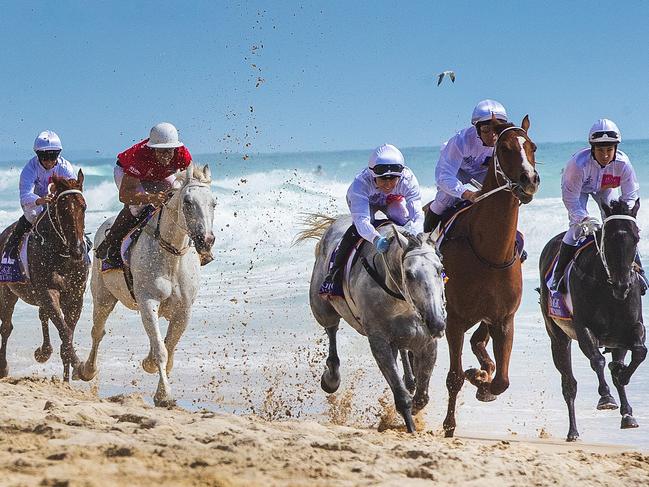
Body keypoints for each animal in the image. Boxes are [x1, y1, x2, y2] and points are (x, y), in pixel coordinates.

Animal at [0, 173, 88, 384]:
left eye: (83, 206)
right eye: (62, 209)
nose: (77, 250)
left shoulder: (75, 297)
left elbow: (67, 335)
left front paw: (67, 379)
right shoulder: (48, 292)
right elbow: (64, 332)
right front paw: (81, 367)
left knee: (42, 316)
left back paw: (44, 351)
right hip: (7, 292)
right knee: (6, 327)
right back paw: (4, 367)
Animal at [76, 165, 216, 408]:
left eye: (213, 203)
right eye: (188, 202)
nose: (206, 240)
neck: (171, 257)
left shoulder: (184, 310)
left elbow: (169, 346)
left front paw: (153, 369)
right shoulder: (147, 301)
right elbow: (161, 349)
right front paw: (164, 395)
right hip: (103, 297)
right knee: (97, 332)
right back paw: (87, 370)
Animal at [298, 215, 446, 432]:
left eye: (440, 269)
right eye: (409, 274)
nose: (437, 323)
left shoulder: (426, 342)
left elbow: (422, 397)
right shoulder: (379, 341)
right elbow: (402, 396)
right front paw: (410, 427)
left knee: (403, 353)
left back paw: (409, 380)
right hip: (322, 309)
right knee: (331, 331)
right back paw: (331, 379)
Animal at [430, 117, 540, 438]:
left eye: (532, 146)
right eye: (505, 149)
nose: (530, 180)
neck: (488, 252)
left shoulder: (504, 319)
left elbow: (501, 381)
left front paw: (482, 382)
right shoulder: (453, 321)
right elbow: (454, 377)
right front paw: (449, 425)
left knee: (479, 340)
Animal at [540, 198, 644, 442]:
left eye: (636, 238)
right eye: (608, 239)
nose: (622, 285)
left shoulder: (630, 327)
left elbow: (638, 352)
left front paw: (623, 379)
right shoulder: (583, 328)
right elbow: (597, 360)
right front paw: (606, 397)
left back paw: (627, 414)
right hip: (558, 337)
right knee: (569, 383)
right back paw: (573, 431)